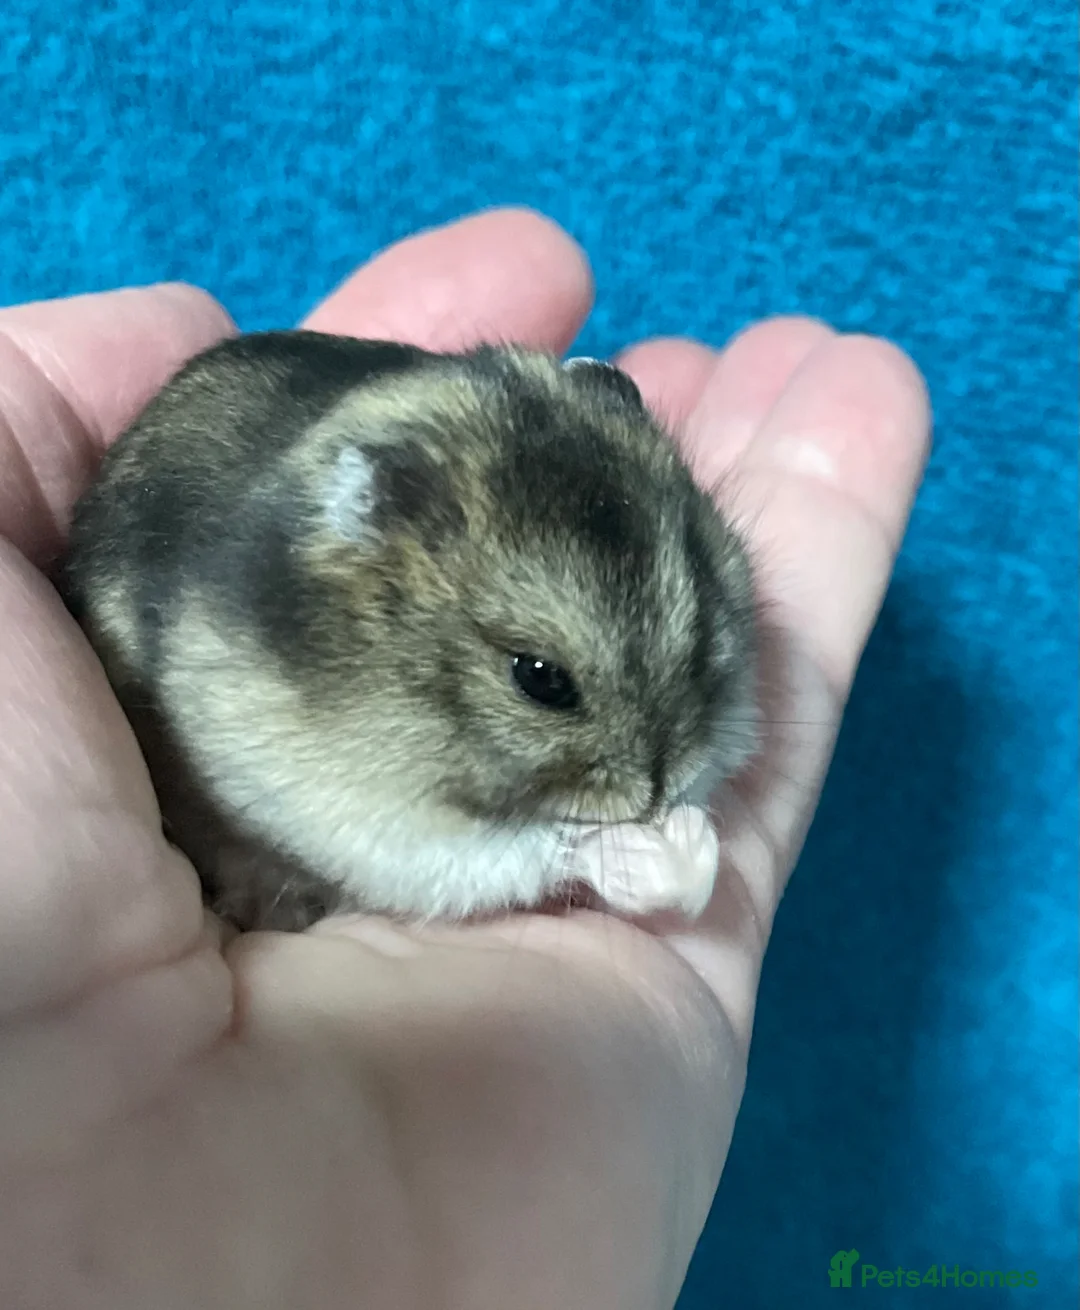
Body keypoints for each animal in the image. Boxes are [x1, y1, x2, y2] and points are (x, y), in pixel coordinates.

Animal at [61, 330, 759, 932]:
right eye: (539, 678)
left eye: (704, 623)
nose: (659, 794)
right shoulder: (375, 825)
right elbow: (538, 847)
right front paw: (663, 847)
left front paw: (683, 837)